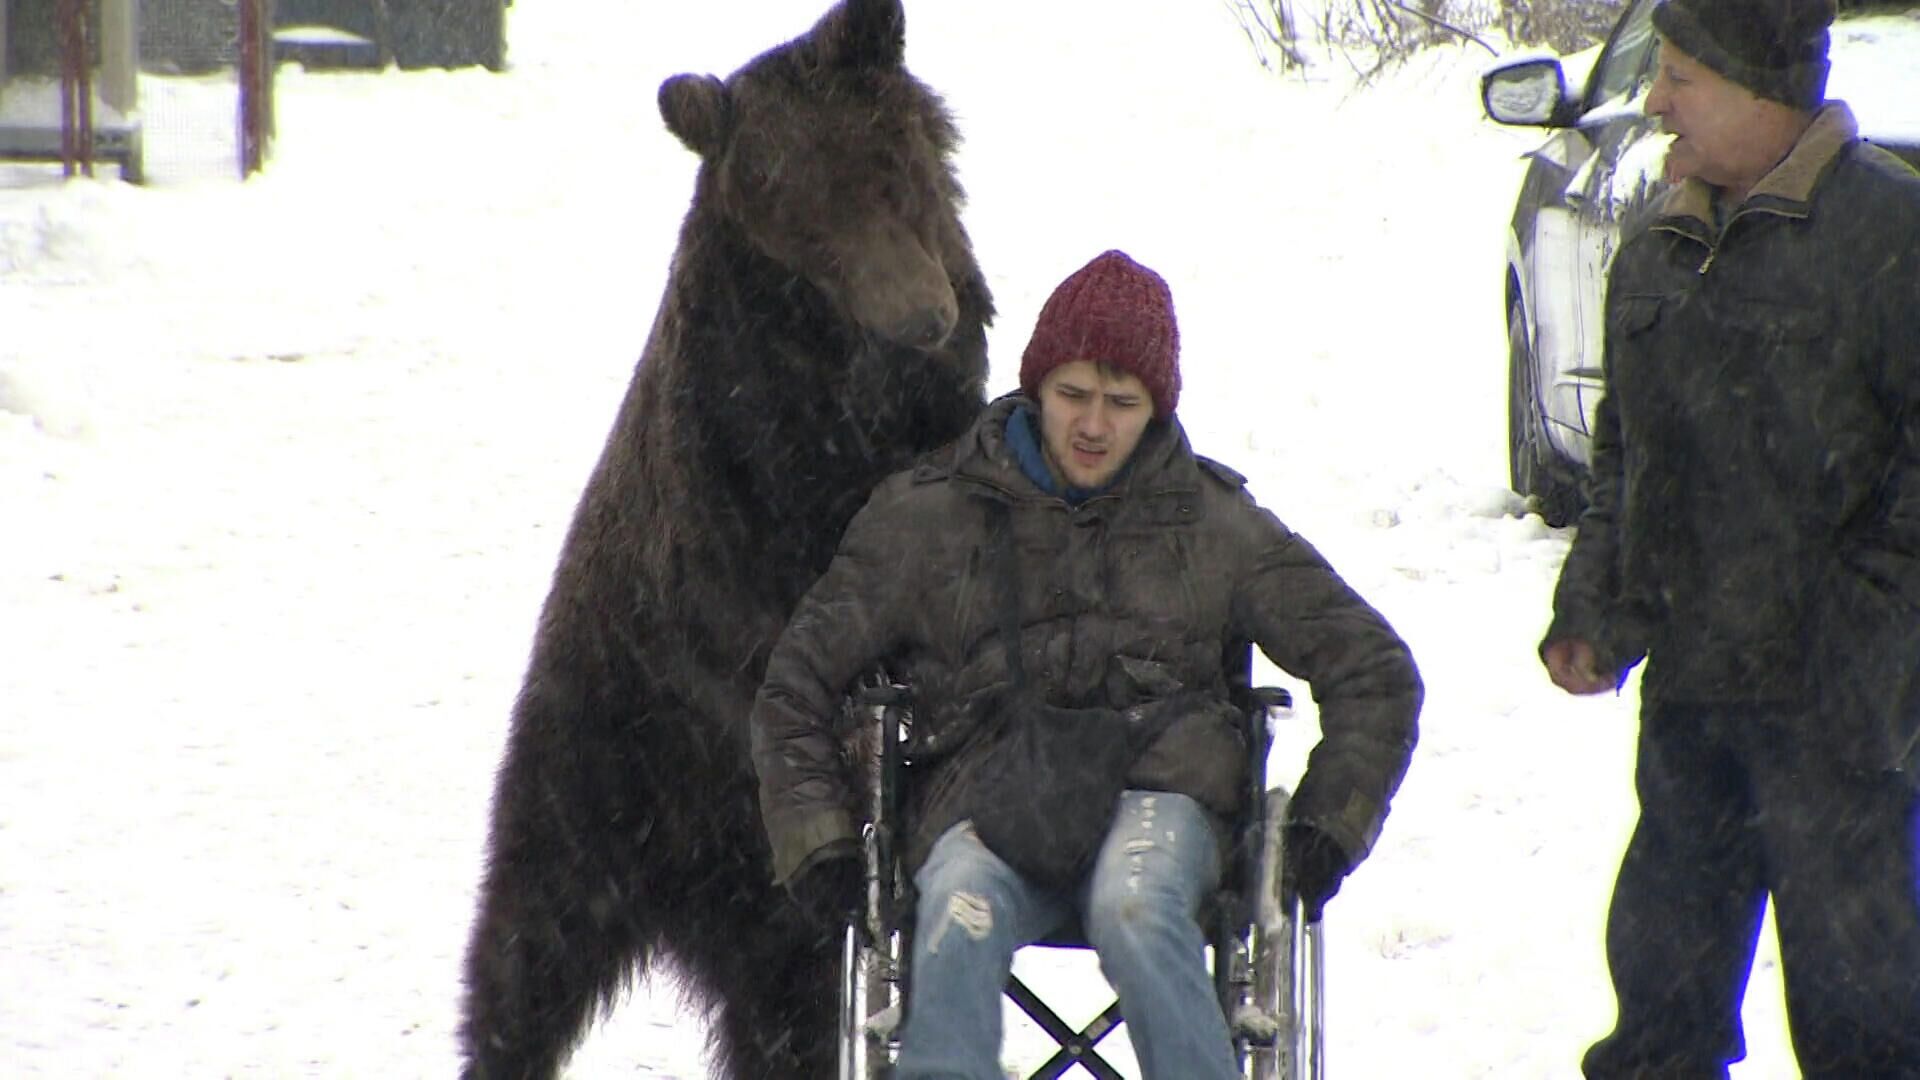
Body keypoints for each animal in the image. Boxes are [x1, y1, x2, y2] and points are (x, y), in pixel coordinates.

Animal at [453, 2, 990, 1076]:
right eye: (800, 219)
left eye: (892, 165)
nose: (918, 317)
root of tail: (680, 902)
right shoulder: (746, 474)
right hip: (593, 768)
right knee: (524, 959)